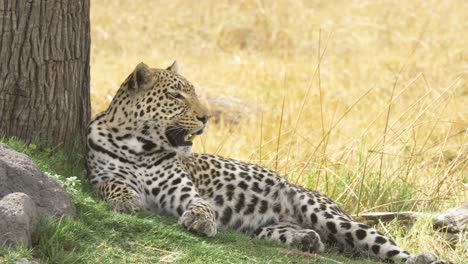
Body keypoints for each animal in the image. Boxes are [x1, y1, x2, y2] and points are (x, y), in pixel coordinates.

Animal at [86, 62, 452, 264]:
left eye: (193, 93)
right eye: (176, 96)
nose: (206, 117)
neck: (140, 147)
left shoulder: (185, 194)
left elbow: (201, 205)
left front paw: (201, 221)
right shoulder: (99, 171)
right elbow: (112, 182)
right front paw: (127, 199)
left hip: (325, 211)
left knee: (381, 244)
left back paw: (423, 258)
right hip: (271, 229)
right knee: (317, 239)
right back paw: (307, 240)